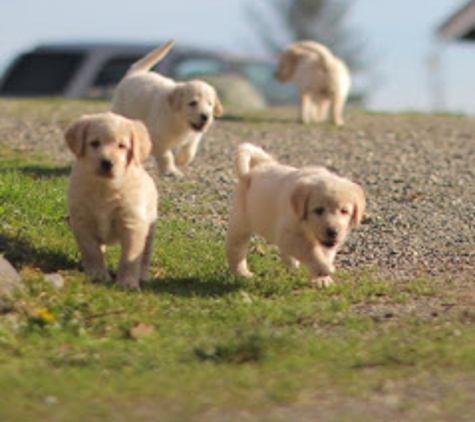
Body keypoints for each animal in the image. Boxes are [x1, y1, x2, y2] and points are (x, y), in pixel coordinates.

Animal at [65, 111, 159, 290]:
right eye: (94, 143)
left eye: (122, 146)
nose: (107, 163)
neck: (105, 187)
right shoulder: (82, 221)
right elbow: (91, 251)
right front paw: (98, 275)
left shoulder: (133, 224)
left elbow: (130, 257)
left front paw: (127, 282)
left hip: (150, 228)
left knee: (145, 256)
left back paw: (142, 276)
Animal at [112, 39, 224, 176]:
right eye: (192, 103)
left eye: (210, 104)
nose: (205, 116)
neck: (179, 120)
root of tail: (135, 73)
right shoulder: (157, 136)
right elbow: (166, 155)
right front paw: (171, 171)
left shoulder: (194, 135)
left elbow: (190, 149)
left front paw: (181, 160)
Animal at [225, 143, 366, 288]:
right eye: (318, 210)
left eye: (344, 211)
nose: (333, 232)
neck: (307, 227)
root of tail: (261, 165)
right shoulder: (290, 234)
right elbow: (309, 250)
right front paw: (323, 268)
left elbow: (323, 252)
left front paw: (321, 279)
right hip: (241, 221)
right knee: (236, 248)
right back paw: (241, 272)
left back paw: (290, 262)